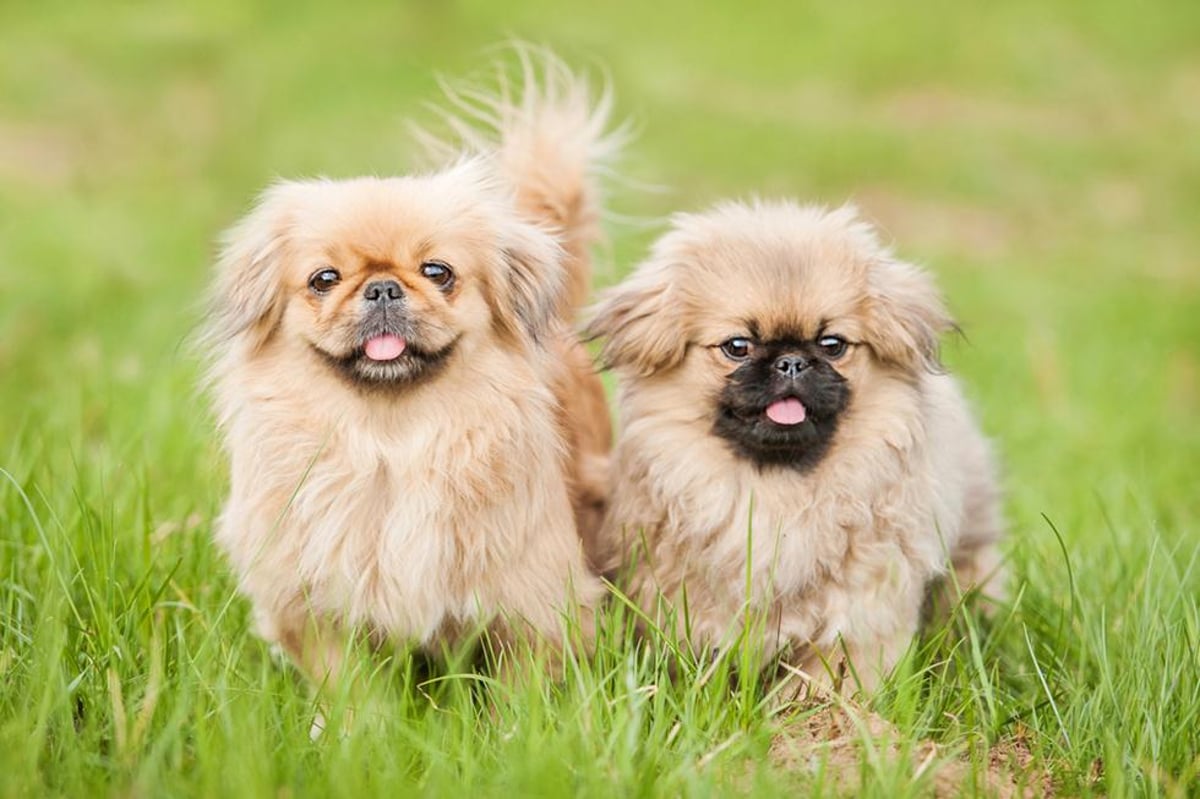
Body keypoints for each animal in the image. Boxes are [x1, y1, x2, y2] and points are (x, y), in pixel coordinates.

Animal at [202, 62, 614, 686]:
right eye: (325, 279)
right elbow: (349, 685)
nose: (382, 286)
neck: (390, 443)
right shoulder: (316, 606)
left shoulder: (533, 600)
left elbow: (523, 687)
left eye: (437, 272)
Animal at [588, 200, 1003, 691]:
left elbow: (830, 678)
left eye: (832, 344)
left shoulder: (859, 610)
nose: (790, 362)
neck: (779, 491)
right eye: (738, 346)